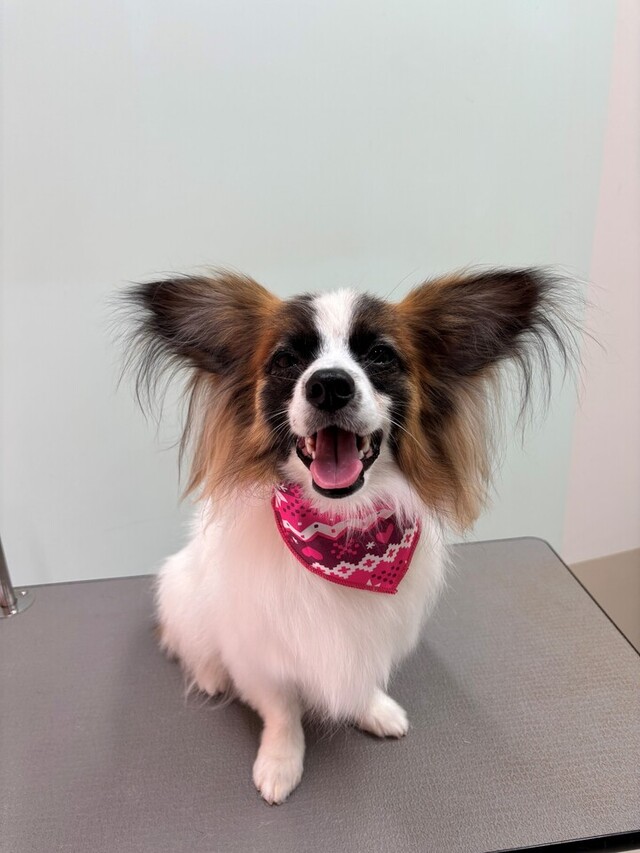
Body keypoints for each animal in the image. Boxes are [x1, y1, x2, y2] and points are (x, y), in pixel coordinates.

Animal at [125, 267, 573, 804]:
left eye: (380, 355)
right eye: (286, 360)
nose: (329, 385)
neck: (342, 531)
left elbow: (360, 679)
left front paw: (373, 709)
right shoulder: (260, 652)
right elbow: (281, 711)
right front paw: (280, 761)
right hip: (183, 591)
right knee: (186, 640)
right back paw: (211, 675)